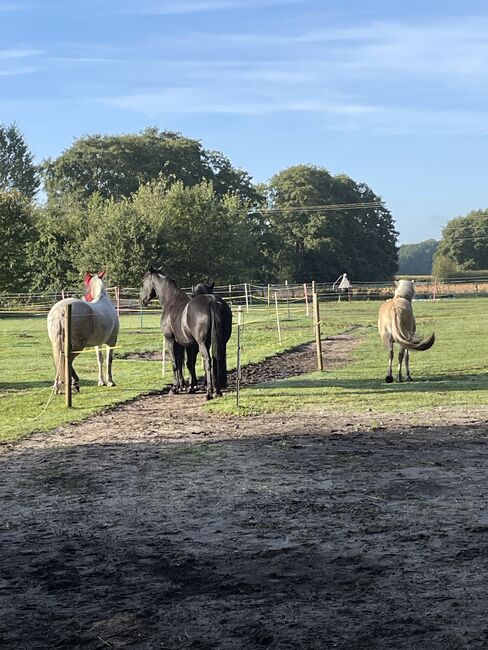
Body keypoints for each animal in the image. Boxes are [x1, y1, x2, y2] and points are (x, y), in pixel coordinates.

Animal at [137, 268, 229, 400]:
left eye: (144, 281)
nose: (142, 300)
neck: (171, 302)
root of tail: (213, 301)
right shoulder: (189, 344)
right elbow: (188, 363)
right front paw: (190, 386)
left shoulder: (171, 341)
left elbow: (175, 363)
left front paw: (175, 388)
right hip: (221, 342)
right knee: (217, 359)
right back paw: (217, 391)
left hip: (203, 343)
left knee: (208, 361)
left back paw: (209, 392)